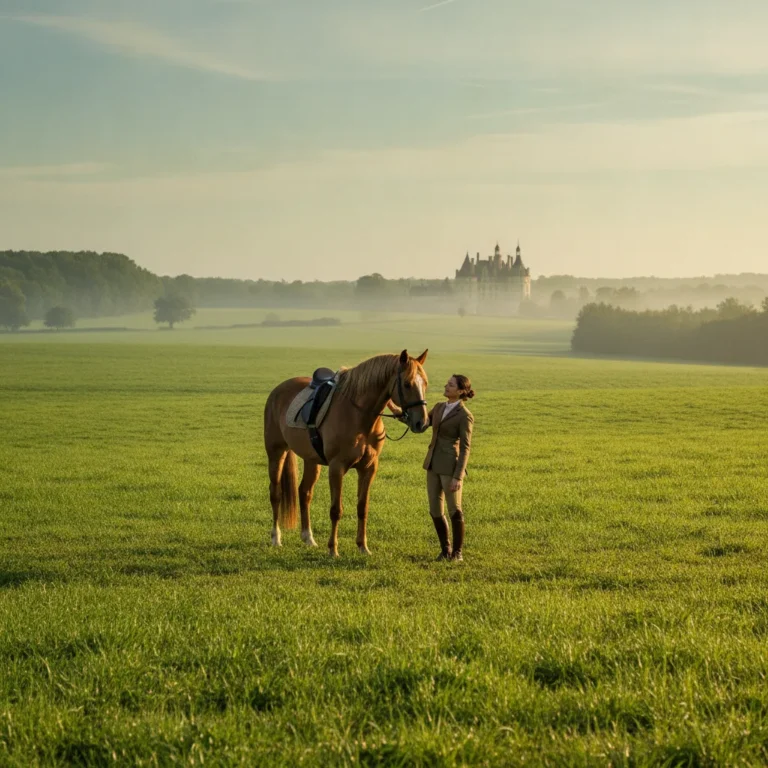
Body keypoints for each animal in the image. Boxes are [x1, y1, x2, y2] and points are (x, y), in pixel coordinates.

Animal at [263, 349, 429, 556]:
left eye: (425, 383)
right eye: (407, 384)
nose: (422, 422)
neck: (359, 416)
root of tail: (277, 391)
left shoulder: (369, 468)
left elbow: (362, 507)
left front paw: (363, 546)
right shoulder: (337, 467)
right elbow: (336, 510)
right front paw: (333, 549)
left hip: (311, 460)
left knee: (304, 492)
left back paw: (308, 538)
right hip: (276, 452)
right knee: (275, 493)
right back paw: (276, 538)